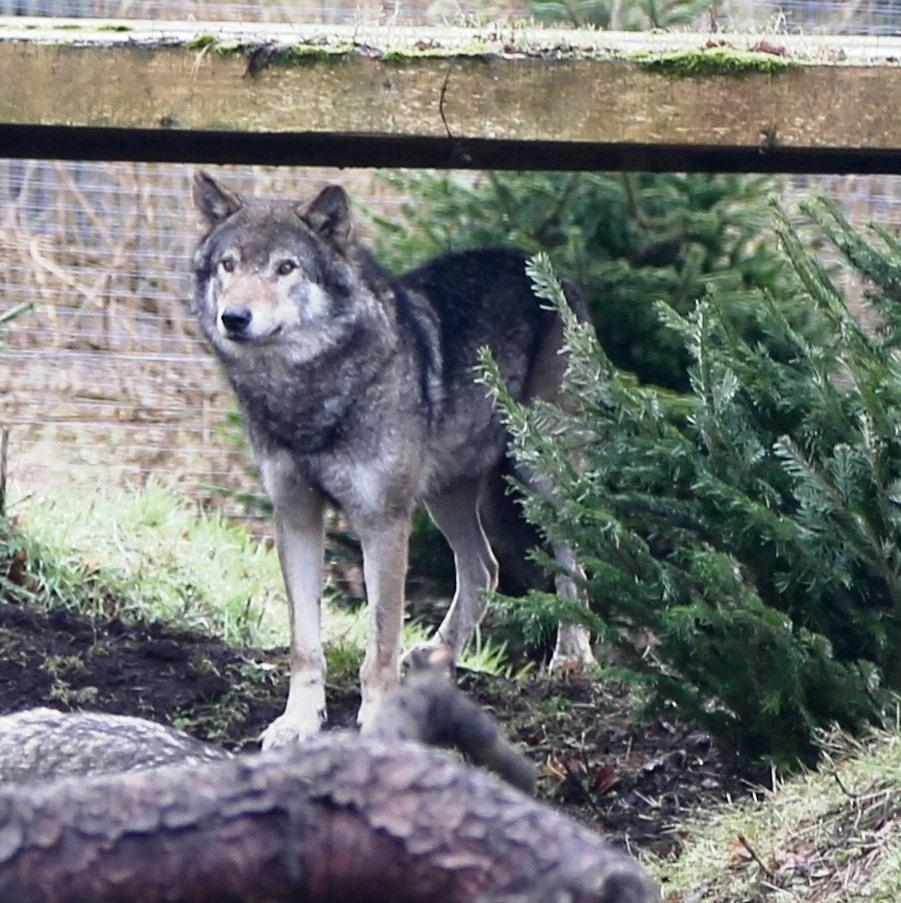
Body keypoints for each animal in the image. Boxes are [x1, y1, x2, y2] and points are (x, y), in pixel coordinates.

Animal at [192, 171, 592, 748]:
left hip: (540, 474)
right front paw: (298, 722)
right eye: (229, 264)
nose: (235, 318)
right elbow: (304, 644)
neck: (311, 394)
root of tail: (549, 268)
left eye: (286, 268)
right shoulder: (295, 515)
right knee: (485, 569)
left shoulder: (382, 521)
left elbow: (379, 640)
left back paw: (571, 660)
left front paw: (379, 720)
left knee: (572, 559)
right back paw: (435, 656)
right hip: (446, 496)